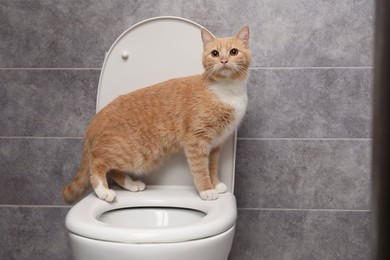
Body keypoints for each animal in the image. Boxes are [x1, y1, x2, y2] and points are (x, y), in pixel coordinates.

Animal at [61, 26, 250, 205]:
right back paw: (103, 191)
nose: (224, 60)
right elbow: (200, 168)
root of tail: (96, 119)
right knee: (97, 162)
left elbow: (212, 166)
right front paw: (207, 189)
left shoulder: (216, 145)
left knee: (113, 169)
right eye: (215, 53)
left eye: (233, 52)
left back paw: (131, 184)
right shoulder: (196, 140)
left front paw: (215, 184)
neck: (226, 90)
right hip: (134, 153)